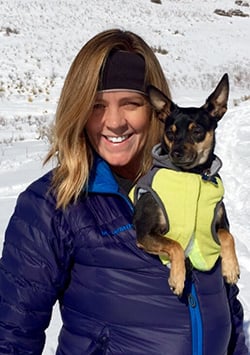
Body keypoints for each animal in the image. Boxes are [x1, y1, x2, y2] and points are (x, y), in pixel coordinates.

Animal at [133, 73, 240, 296]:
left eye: (197, 131)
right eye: (170, 133)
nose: (176, 152)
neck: (192, 174)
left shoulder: (219, 224)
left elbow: (228, 236)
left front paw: (231, 268)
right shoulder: (144, 232)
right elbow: (175, 245)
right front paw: (178, 277)